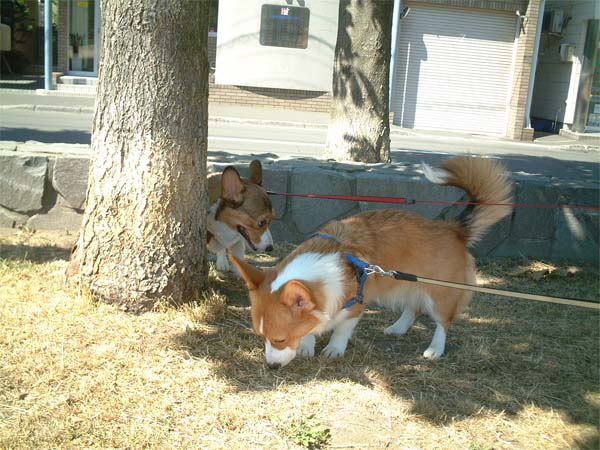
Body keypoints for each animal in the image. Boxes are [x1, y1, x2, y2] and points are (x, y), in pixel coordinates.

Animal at [230, 156, 513, 368]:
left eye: (280, 339)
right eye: (261, 337)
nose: (271, 367)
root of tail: (454, 228)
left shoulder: (355, 306)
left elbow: (341, 329)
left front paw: (333, 349)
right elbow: (312, 328)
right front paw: (308, 346)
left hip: (440, 294)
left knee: (442, 322)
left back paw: (435, 349)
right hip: (408, 282)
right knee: (412, 307)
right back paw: (397, 328)